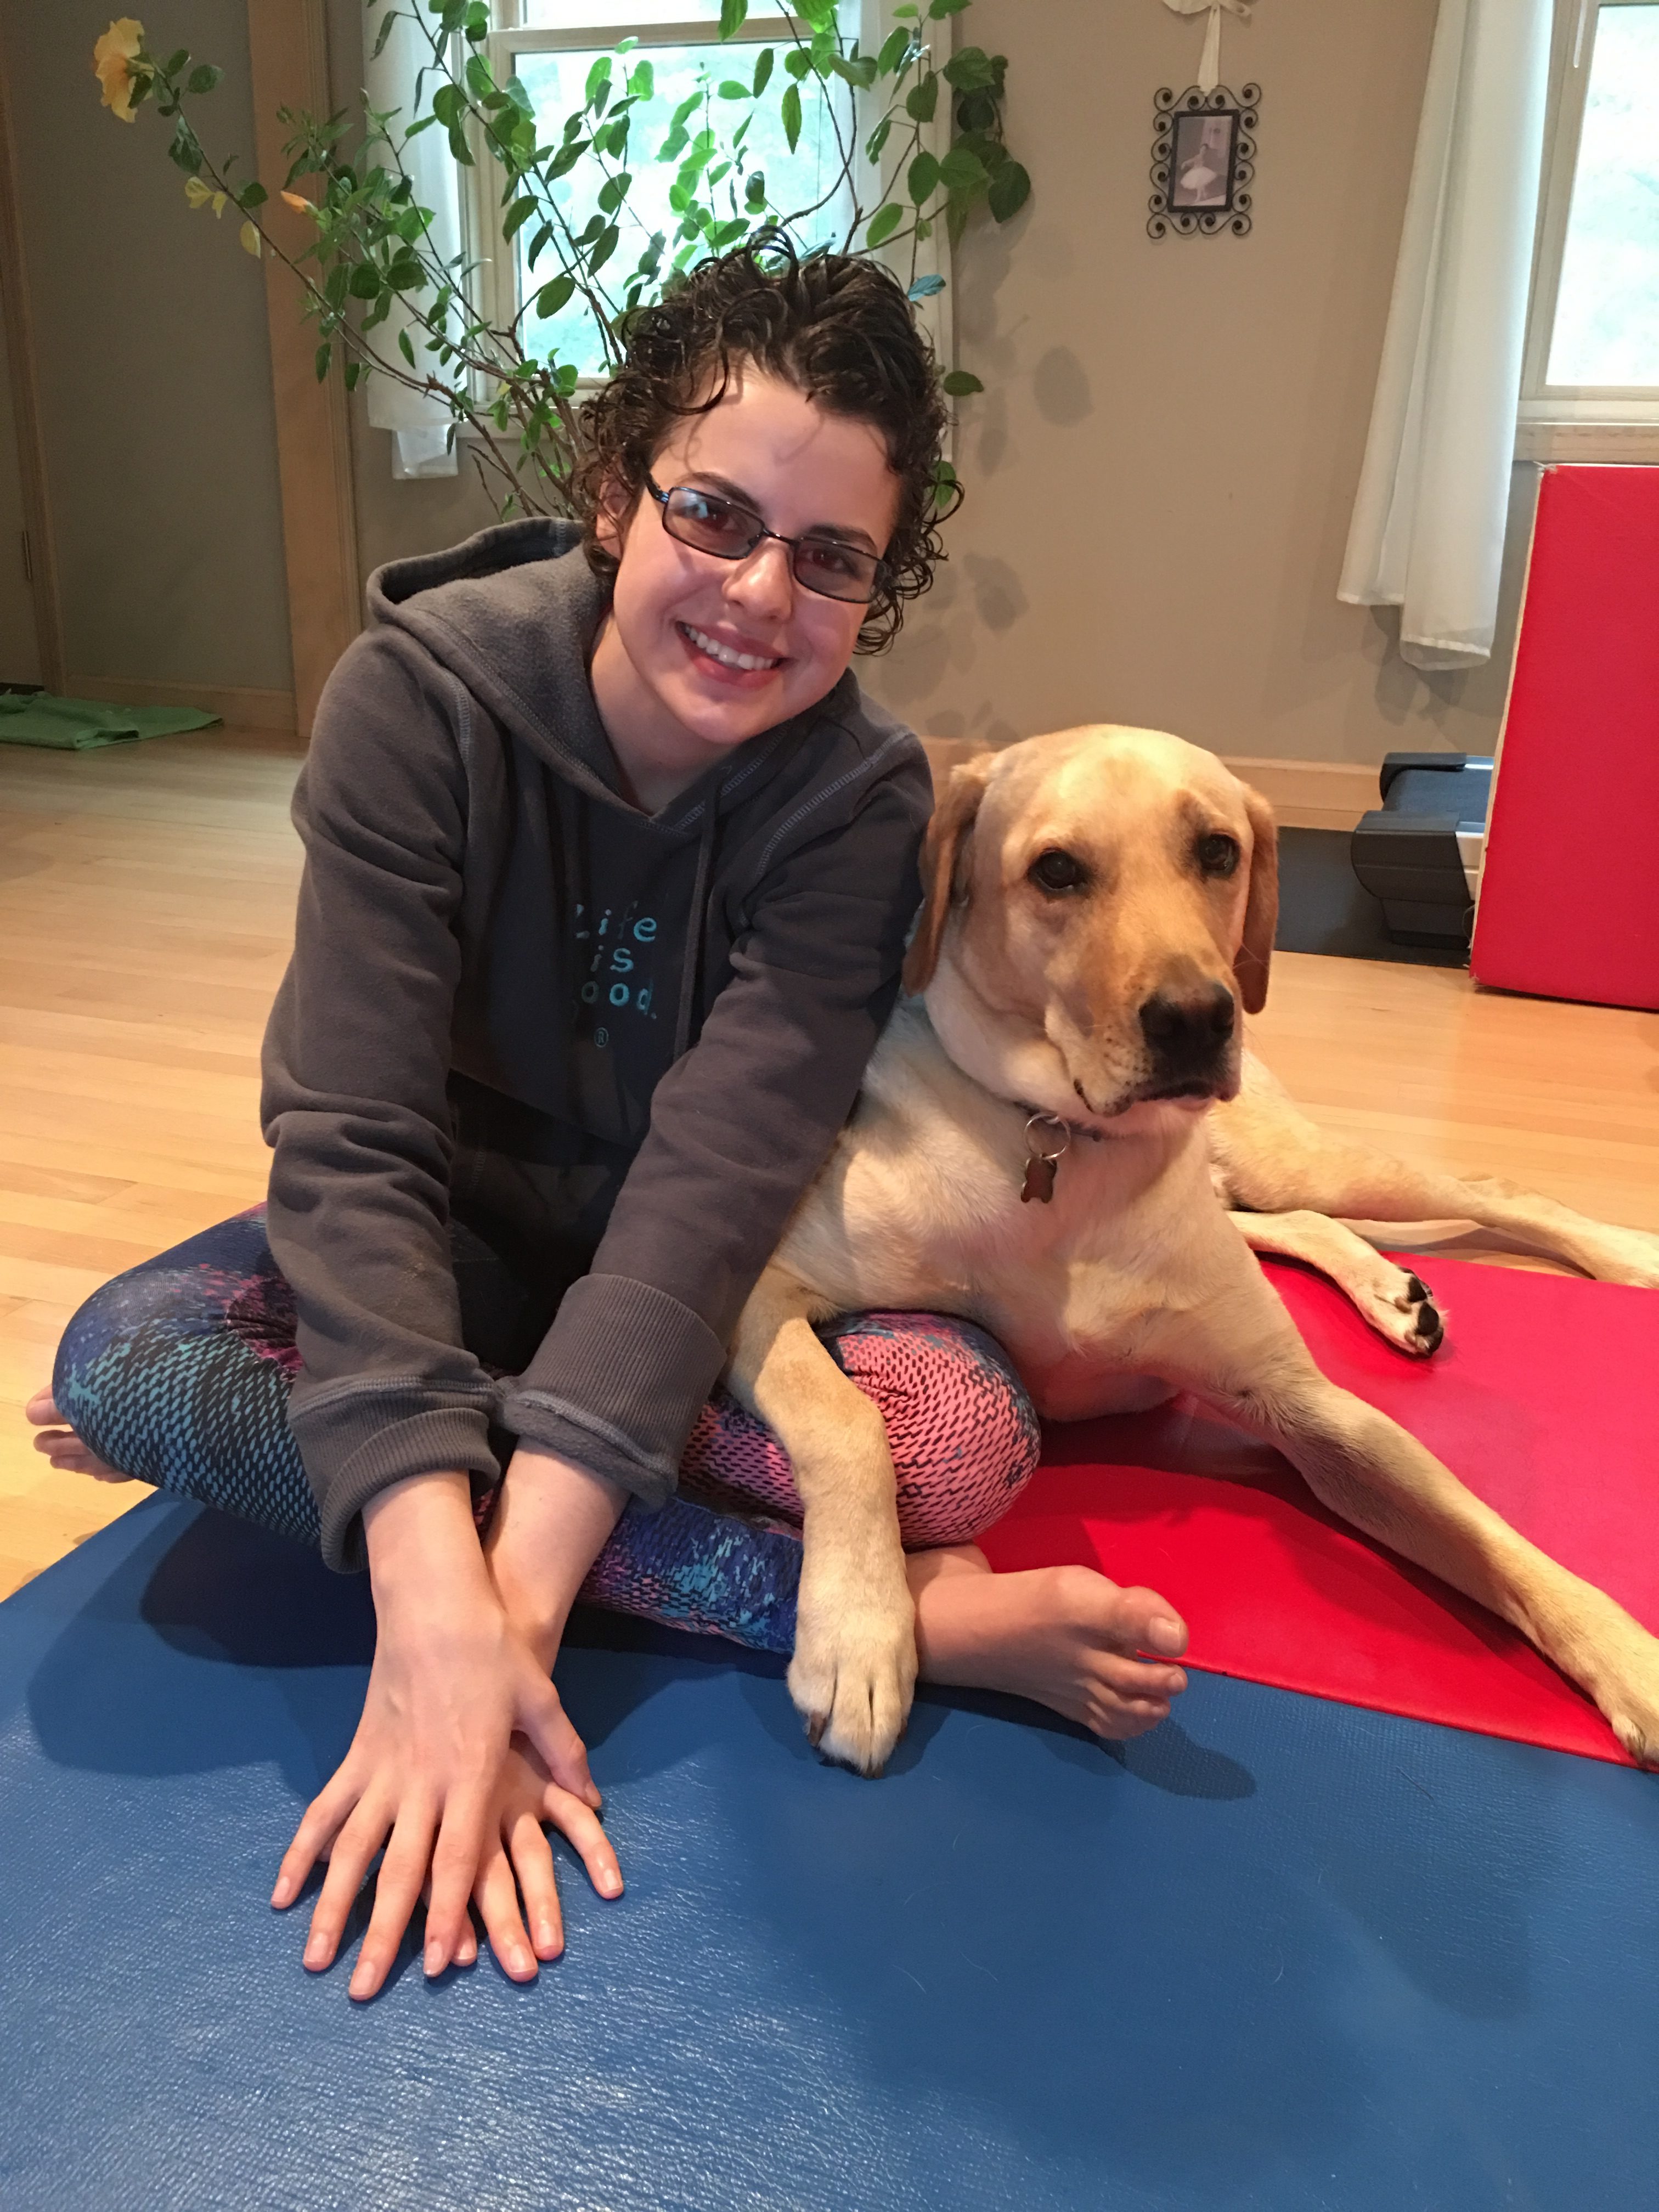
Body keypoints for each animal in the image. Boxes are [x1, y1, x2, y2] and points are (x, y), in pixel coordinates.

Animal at [725, 725, 1659, 1778]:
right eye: (1056, 870)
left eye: (1218, 851)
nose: (1197, 1018)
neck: (1067, 1144)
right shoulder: (762, 1287)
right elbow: (844, 1420)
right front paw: (857, 1635)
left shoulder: (1310, 1406)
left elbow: (1491, 1535)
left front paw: (1632, 1661)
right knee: (1295, 1222)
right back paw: (1392, 1291)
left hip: (1293, 1157)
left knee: (1479, 1189)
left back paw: (1626, 1255)